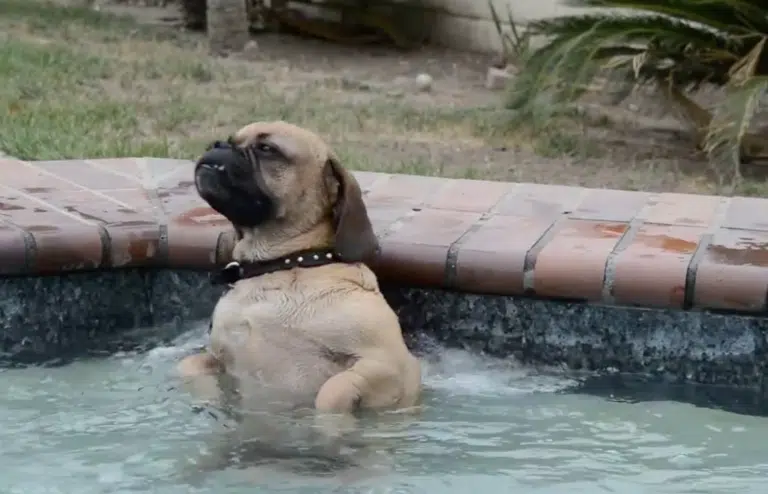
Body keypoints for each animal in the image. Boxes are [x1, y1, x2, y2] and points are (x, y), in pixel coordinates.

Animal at [176, 119, 424, 470]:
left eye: (267, 149)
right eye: (228, 140)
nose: (216, 146)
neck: (286, 266)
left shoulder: (388, 364)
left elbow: (331, 393)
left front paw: (329, 431)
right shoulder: (218, 357)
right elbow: (189, 366)